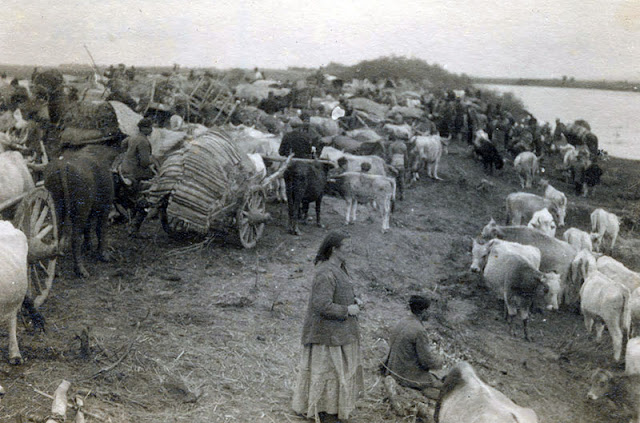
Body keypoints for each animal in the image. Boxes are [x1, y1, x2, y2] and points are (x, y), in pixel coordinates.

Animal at [44, 144, 122, 280]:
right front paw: (103, 254)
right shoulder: (104, 207)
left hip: (59, 208)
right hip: (81, 210)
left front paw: (88, 247)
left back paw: (56, 270)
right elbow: (100, 229)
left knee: (57, 235)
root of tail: (63, 165)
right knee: (75, 238)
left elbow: (88, 227)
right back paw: (81, 270)